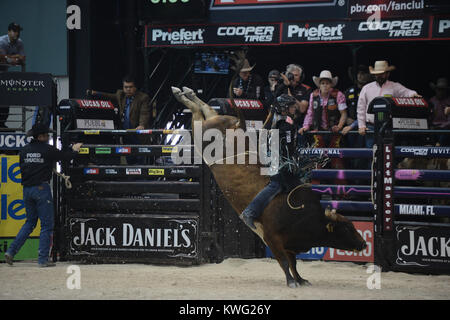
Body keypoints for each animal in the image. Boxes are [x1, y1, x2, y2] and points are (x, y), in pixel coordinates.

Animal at [171, 57, 368, 288]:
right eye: (346, 228)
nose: (364, 243)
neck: (306, 216)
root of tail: (239, 125)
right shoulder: (272, 238)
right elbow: (284, 262)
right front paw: (291, 281)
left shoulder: (289, 244)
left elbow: (293, 262)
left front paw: (300, 279)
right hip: (202, 133)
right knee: (196, 115)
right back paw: (181, 92)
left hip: (213, 123)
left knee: (207, 108)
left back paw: (186, 92)